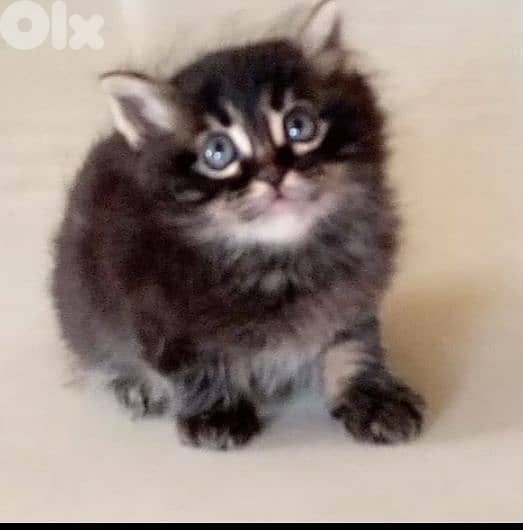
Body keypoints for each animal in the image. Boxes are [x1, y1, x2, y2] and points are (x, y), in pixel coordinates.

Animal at [52, 0, 425, 450]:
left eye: (299, 126)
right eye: (218, 152)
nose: (273, 175)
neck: (280, 263)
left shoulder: (354, 297)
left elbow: (356, 345)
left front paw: (372, 397)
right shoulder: (160, 314)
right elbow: (199, 364)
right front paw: (217, 413)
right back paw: (135, 386)